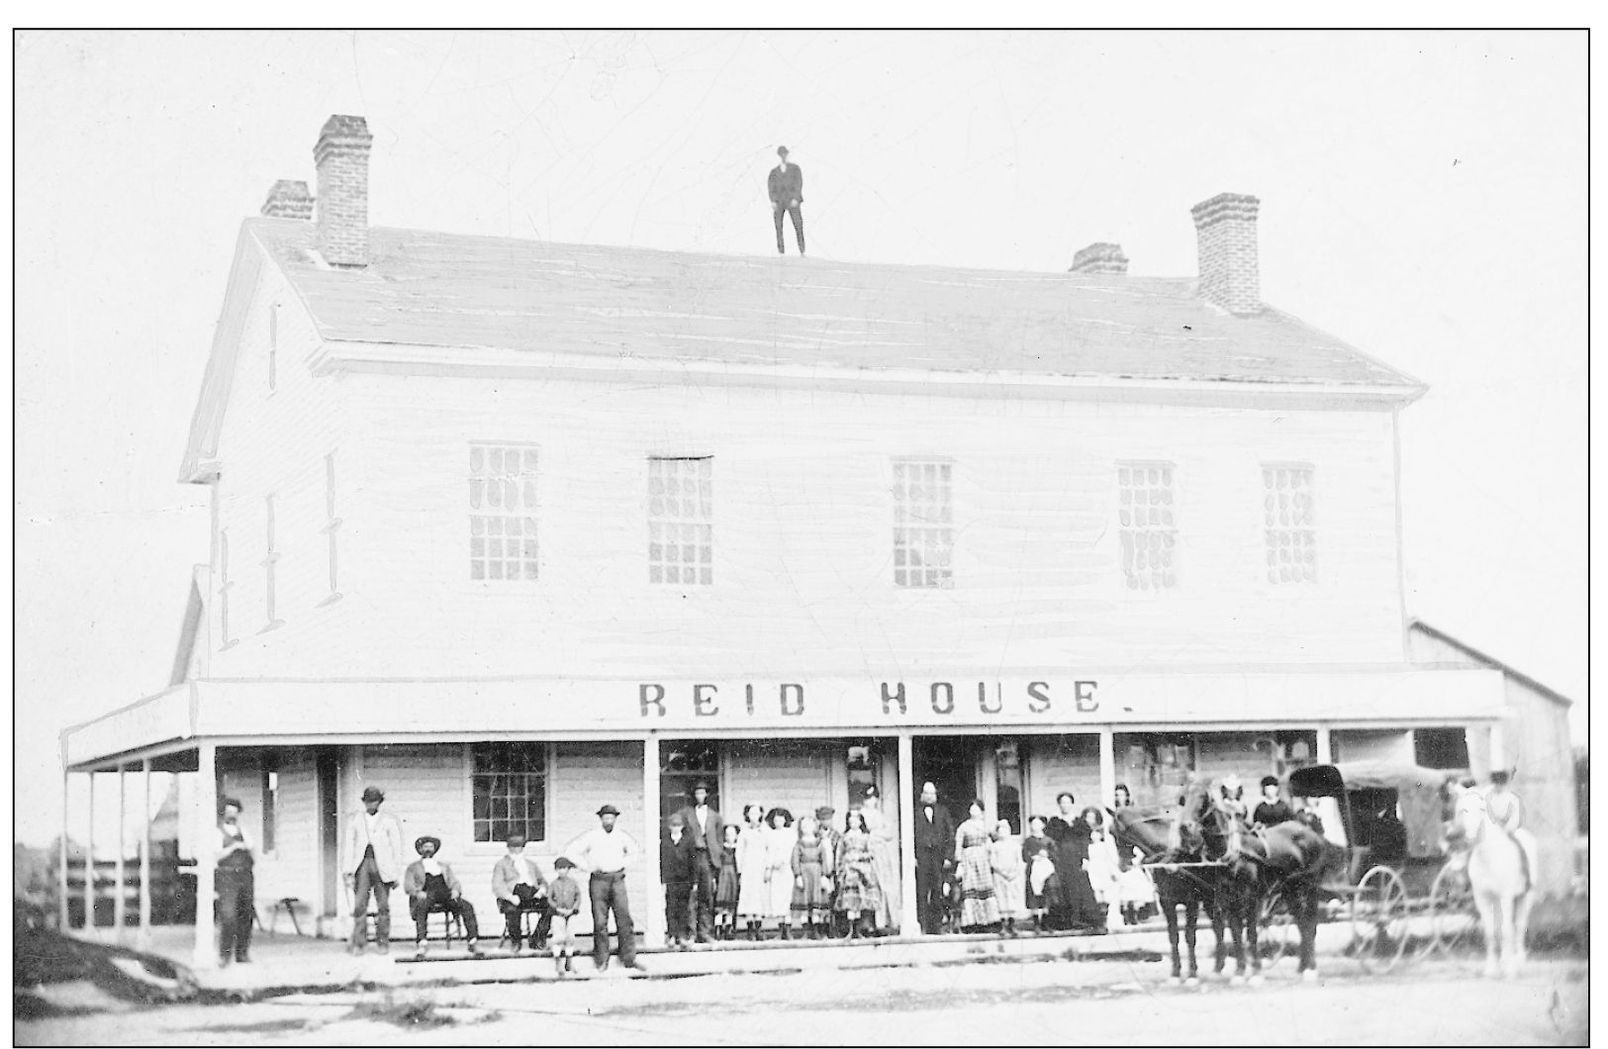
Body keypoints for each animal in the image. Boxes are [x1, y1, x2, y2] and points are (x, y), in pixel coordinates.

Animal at [1460, 798, 1530, 978]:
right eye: (1464, 810)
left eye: (1481, 809)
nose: (1470, 836)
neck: (1487, 857)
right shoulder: (1483, 898)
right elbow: (1491, 932)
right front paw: (1491, 970)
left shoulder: (1506, 897)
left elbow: (1508, 930)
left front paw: (1511, 972)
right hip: (1496, 901)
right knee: (1500, 926)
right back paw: (1504, 962)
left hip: (1525, 897)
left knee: (1519, 927)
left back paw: (1519, 965)